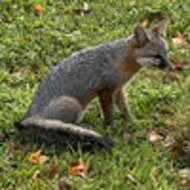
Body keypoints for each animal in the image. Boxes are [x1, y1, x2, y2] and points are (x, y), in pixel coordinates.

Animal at [15, 17, 174, 148]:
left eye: (166, 52)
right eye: (157, 56)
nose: (172, 67)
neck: (122, 59)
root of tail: (29, 115)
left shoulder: (118, 88)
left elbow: (124, 107)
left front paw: (131, 121)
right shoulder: (105, 90)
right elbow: (109, 113)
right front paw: (110, 127)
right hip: (74, 105)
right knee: (64, 125)